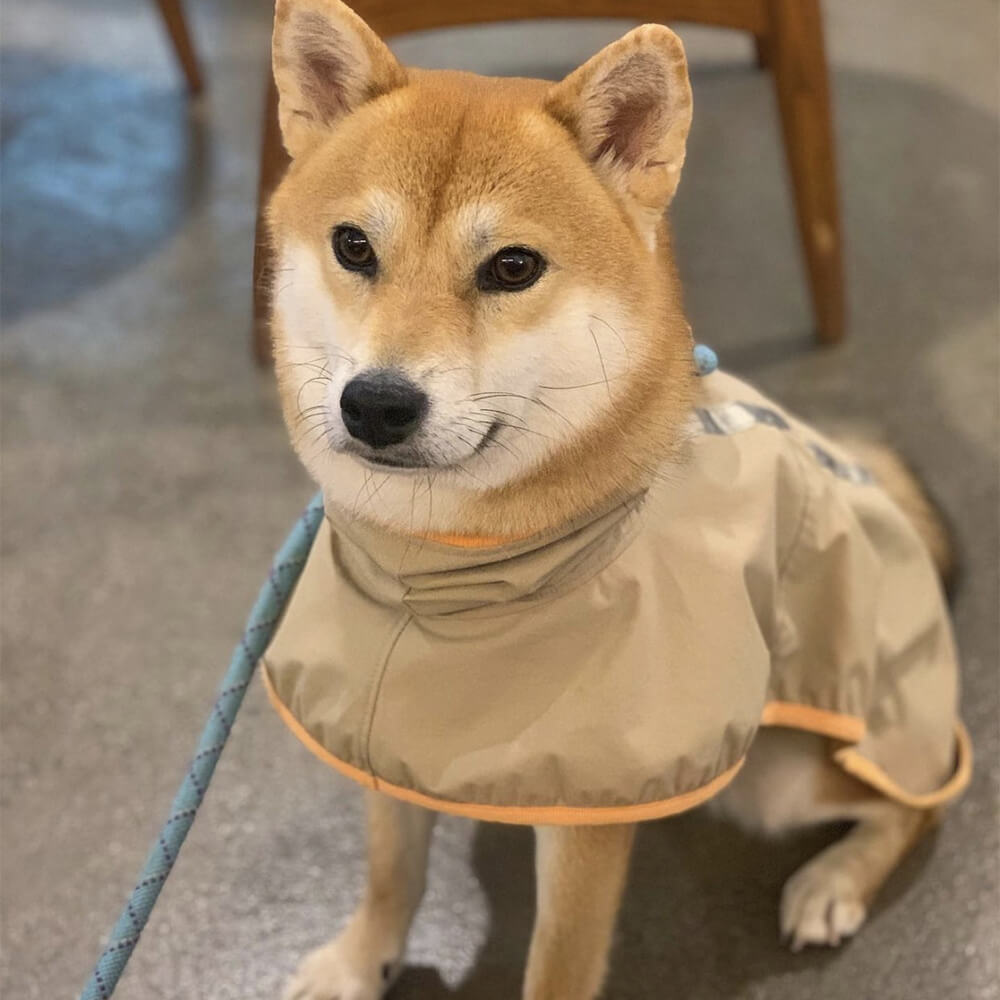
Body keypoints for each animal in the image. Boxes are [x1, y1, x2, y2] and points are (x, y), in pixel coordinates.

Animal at [264, 3, 968, 996]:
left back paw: (834, 881)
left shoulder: (586, 815)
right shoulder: (378, 725)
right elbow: (391, 869)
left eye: (513, 267)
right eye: (353, 246)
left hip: (787, 772)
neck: (433, 576)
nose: (376, 404)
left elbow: (557, 960)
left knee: (922, 801)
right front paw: (360, 961)